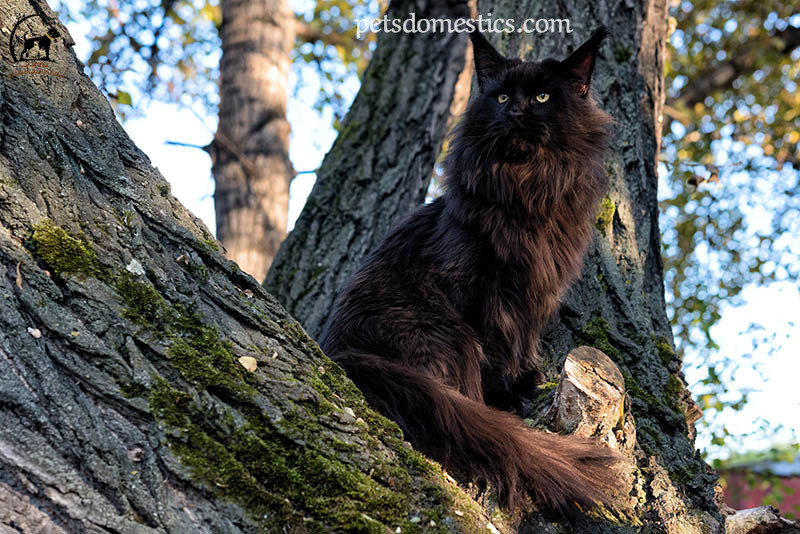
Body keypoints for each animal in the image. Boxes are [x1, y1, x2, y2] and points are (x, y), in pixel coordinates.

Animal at [318, 26, 620, 516]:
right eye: (501, 97)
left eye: (541, 97)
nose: (515, 111)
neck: (527, 192)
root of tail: (343, 357)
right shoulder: (480, 291)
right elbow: (498, 351)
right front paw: (511, 397)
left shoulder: (537, 293)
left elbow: (523, 343)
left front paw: (528, 381)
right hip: (444, 331)